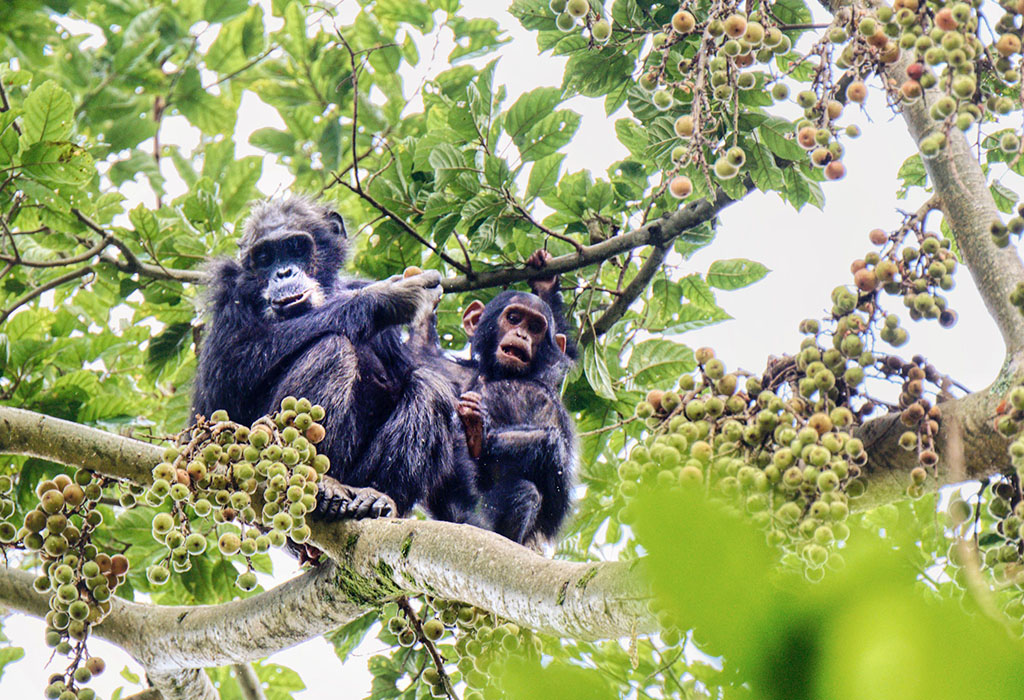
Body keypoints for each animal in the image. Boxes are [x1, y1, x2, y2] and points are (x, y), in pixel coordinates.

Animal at [191, 196, 479, 525]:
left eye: (295, 247)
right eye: (264, 257)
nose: (283, 273)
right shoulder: (228, 295)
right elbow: (224, 381)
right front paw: (384, 298)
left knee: (431, 386)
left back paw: (378, 495)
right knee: (332, 349)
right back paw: (324, 484)